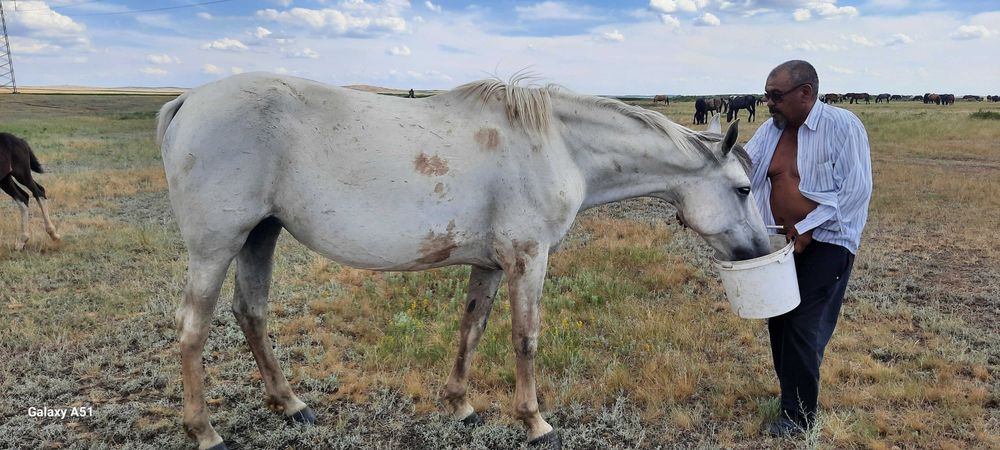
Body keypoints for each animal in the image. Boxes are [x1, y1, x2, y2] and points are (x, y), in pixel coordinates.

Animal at [157, 73, 771, 450]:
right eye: (743, 189)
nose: (763, 251)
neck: (557, 146)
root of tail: (189, 100)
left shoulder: (493, 264)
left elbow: (471, 327)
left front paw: (461, 405)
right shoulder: (528, 259)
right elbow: (525, 338)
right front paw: (536, 421)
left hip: (260, 236)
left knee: (251, 314)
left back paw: (290, 405)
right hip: (217, 246)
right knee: (192, 328)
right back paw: (205, 431)